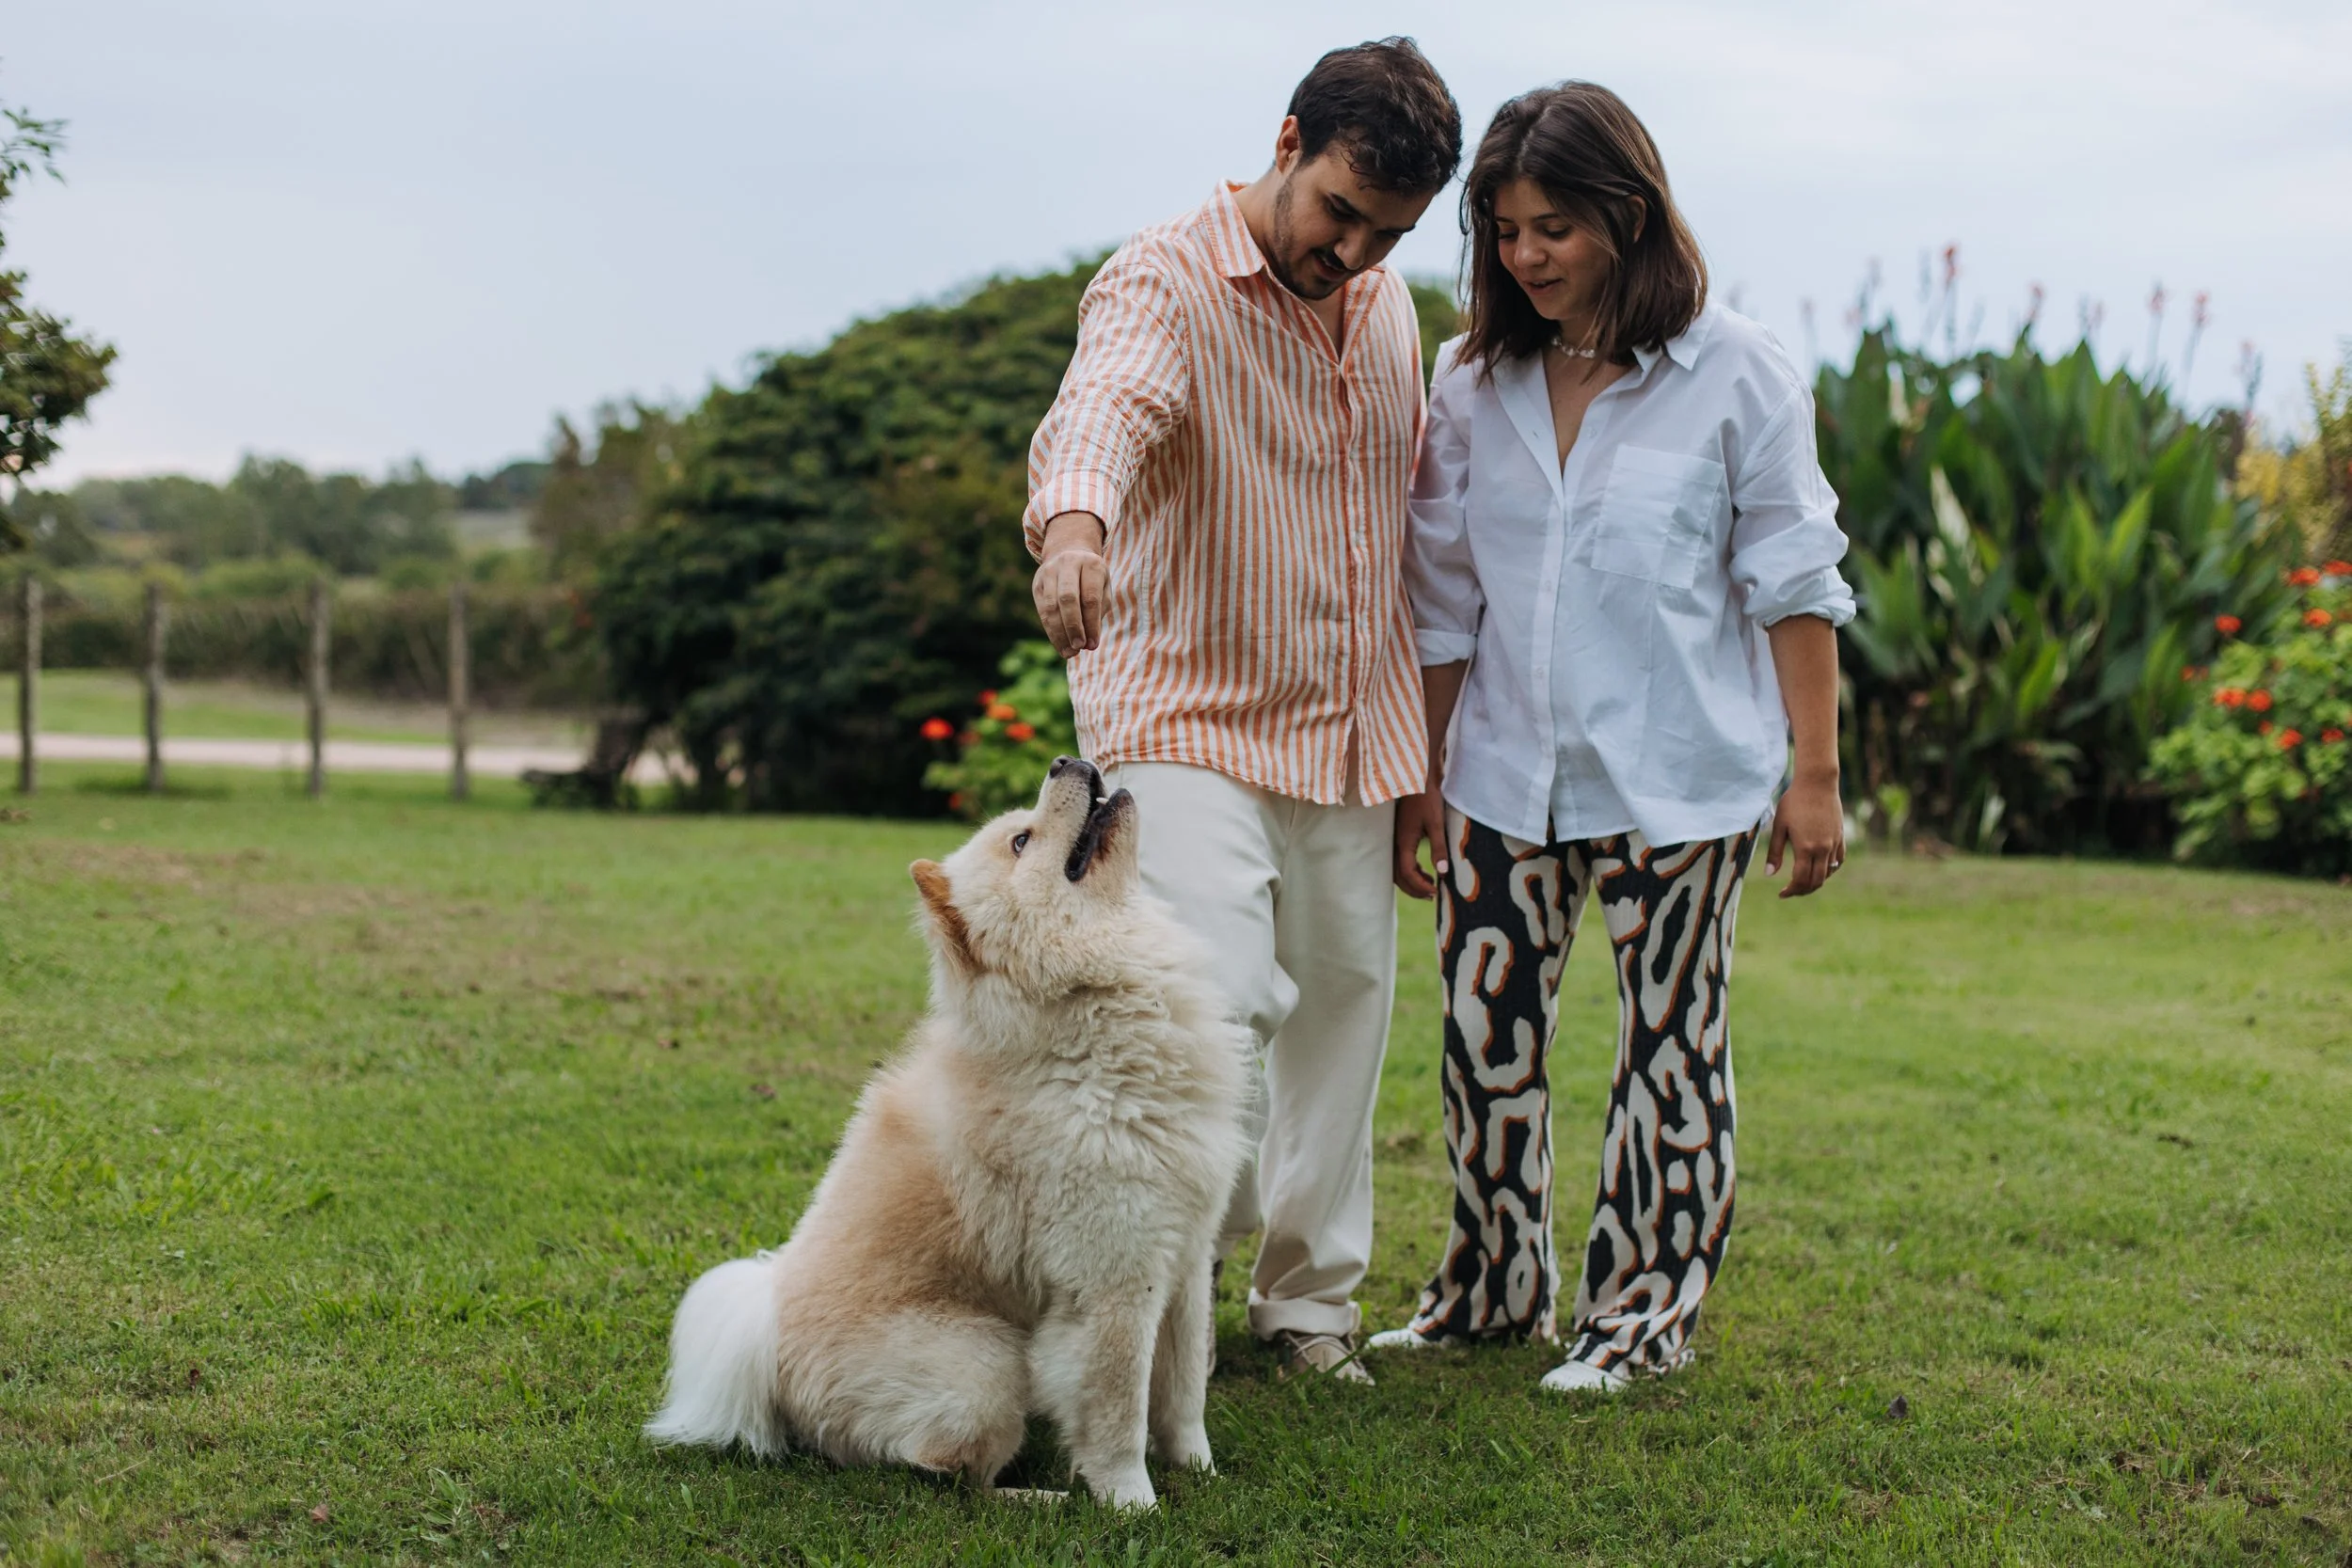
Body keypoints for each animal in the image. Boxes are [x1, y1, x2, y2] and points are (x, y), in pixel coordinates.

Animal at [645, 757, 1249, 1509]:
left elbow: (1184, 1391)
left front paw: (1201, 1471)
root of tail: (768, 1349)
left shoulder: (1187, 1258)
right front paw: (1131, 1504)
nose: (1068, 761)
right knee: (948, 1475)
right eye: (1021, 841)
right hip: (988, 1364)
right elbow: (1117, 1412)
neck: (1085, 1014)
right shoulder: (1115, 1283)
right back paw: (1039, 1499)